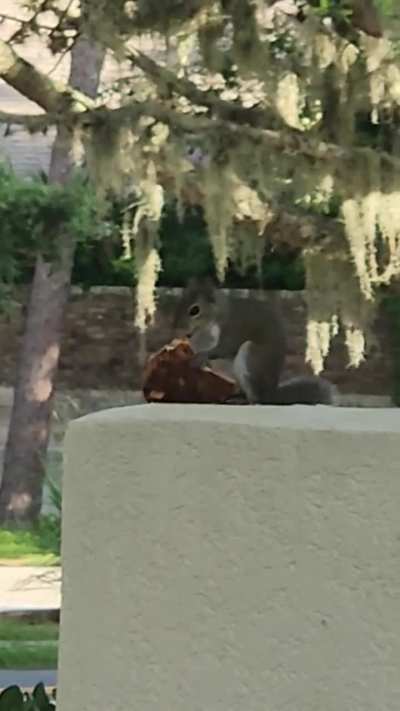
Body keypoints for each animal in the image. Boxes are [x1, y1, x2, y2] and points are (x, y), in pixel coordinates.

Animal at [173, 277, 337, 405]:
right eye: (179, 302)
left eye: (195, 310)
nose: (176, 327)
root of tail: (270, 395)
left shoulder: (232, 328)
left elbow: (226, 347)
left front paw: (202, 356)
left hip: (251, 357)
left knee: (256, 400)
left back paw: (242, 400)